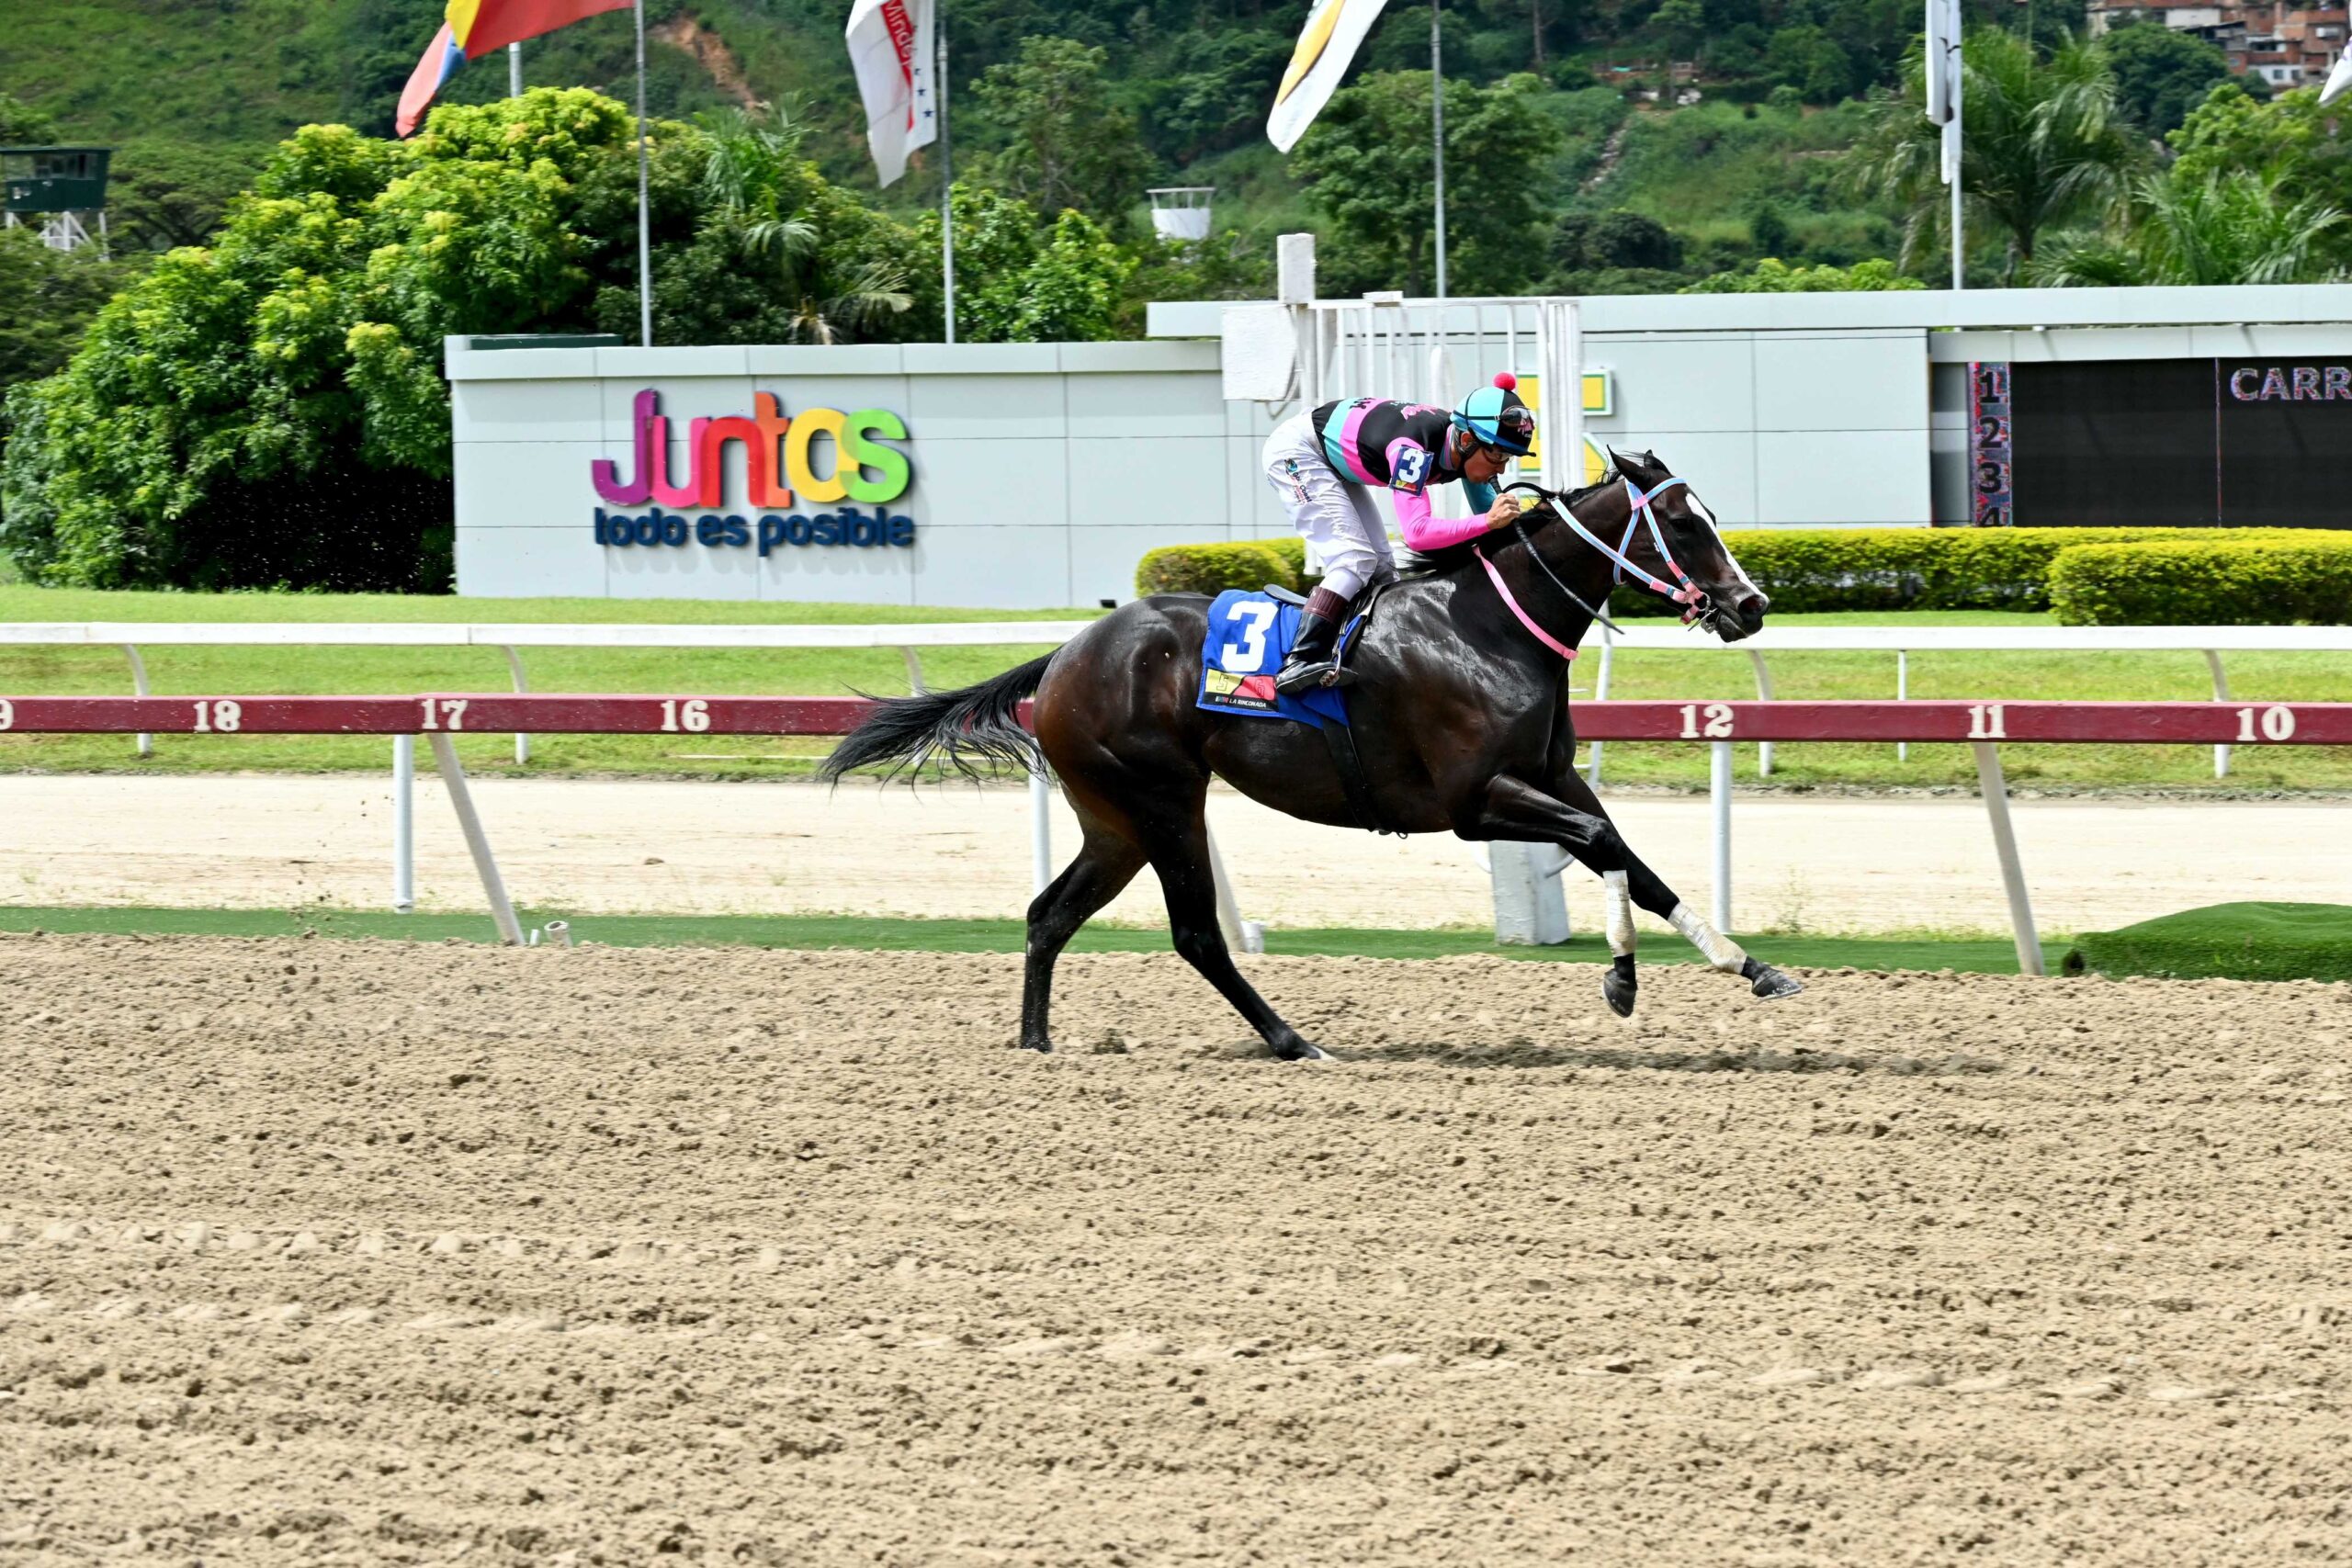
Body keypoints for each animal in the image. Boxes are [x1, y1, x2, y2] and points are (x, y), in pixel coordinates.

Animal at [820, 448, 1804, 1059]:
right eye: (1682, 524)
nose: (1751, 606)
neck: (1491, 625)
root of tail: (1065, 653)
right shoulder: (1473, 802)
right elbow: (1604, 848)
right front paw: (1624, 978)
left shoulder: (1550, 778)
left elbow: (1632, 857)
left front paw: (1751, 966)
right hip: (1164, 800)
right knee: (1195, 934)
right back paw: (1295, 1040)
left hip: (1115, 821)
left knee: (1048, 915)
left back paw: (1035, 1044)